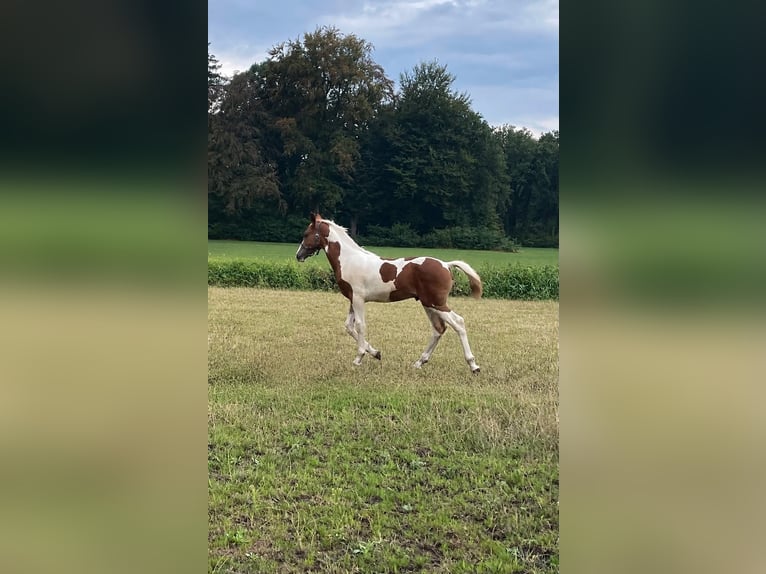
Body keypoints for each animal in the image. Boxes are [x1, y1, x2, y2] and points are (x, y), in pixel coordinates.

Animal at [296, 212, 482, 374]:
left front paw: (359, 358)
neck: (349, 259)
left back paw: (473, 365)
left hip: (437, 303)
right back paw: (419, 362)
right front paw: (376, 353)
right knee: (439, 329)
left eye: (306, 234)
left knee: (458, 323)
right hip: (428, 304)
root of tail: (446, 264)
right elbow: (349, 326)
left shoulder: (358, 299)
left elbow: (360, 325)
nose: (299, 255)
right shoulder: (352, 299)